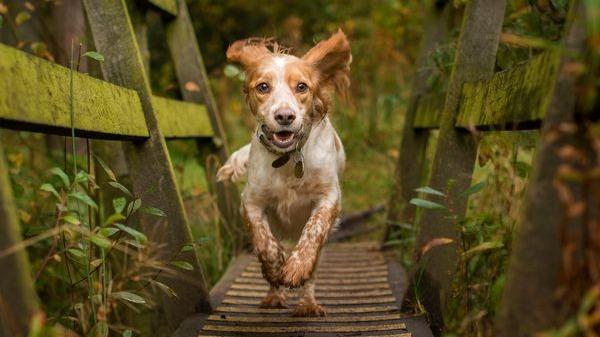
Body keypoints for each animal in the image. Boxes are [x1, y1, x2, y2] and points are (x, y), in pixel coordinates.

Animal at [217, 28, 352, 316]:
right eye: (263, 87)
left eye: (301, 87)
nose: (285, 116)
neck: (289, 158)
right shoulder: (251, 203)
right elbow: (264, 243)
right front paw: (277, 267)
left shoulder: (329, 197)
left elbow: (313, 232)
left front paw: (296, 267)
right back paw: (274, 296)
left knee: (312, 272)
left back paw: (307, 304)